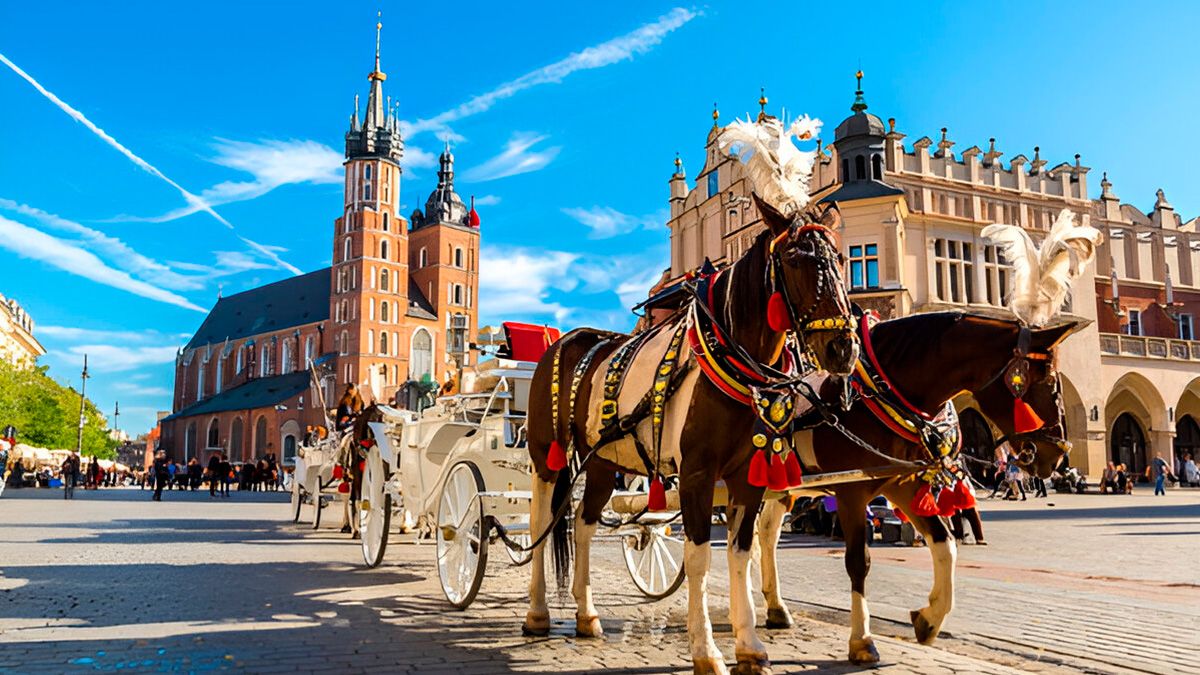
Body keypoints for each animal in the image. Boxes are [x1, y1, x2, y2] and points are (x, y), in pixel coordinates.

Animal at [525, 196, 864, 667]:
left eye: (841, 259)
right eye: (796, 259)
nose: (843, 348)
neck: (734, 364)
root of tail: (562, 340)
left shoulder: (747, 477)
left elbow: (741, 551)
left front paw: (749, 644)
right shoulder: (697, 475)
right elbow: (700, 555)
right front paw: (706, 650)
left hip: (603, 462)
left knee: (583, 521)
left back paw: (587, 614)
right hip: (546, 455)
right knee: (541, 521)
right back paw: (537, 612)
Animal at [758, 312, 1080, 662]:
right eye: (1050, 384)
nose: (1058, 455)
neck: (875, 395)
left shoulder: (903, 483)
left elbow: (945, 544)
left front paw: (929, 619)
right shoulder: (852, 492)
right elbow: (858, 562)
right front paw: (862, 640)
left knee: (765, 534)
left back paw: (775, 608)